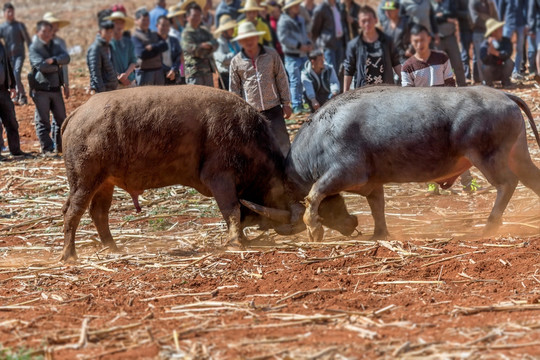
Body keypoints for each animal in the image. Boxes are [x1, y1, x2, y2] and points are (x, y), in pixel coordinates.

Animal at [61, 87, 302, 262]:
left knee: (99, 213)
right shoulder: (221, 179)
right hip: (85, 181)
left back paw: (112, 247)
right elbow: (231, 210)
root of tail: (77, 114)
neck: (245, 135)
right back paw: (69, 255)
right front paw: (237, 241)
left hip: (104, 183)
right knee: (73, 213)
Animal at [282, 86, 540, 240]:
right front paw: (379, 235)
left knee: (507, 184)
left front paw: (314, 229)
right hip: (518, 155)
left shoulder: (345, 172)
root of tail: (504, 95)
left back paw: (489, 226)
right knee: (533, 179)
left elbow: (315, 194)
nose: (351, 224)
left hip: (487, 157)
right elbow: (378, 208)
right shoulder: (373, 184)